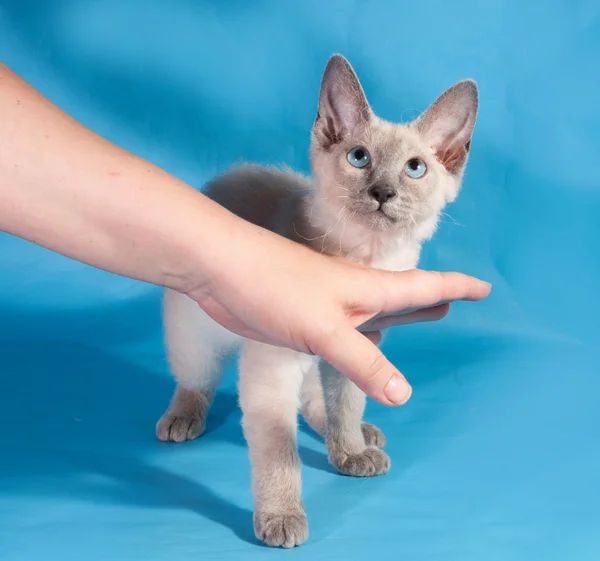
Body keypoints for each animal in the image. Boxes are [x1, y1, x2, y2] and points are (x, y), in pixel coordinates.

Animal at [156, 54, 478, 544]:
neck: (366, 260)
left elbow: (345, 403)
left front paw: (348, 452)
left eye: (415, 168)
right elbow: (279, 453)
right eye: (359, 158)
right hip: (196, 335)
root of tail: (224, 177)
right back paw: (182, 418)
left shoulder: (356, 346)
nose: (382, 192)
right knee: (197, 379)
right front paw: (282, 516)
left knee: (315, 401)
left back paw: (362, 437)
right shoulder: (273, 371)